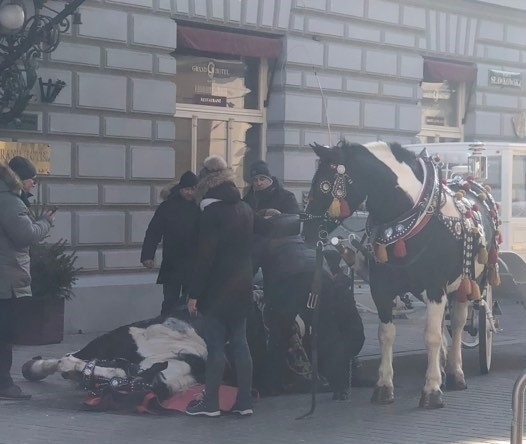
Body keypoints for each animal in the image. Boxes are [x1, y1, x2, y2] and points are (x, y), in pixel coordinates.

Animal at [304, 140, 502, 408]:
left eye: (324, 184)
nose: (305, 230)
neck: (410, 219)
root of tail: (470, 185)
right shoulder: (381, 288)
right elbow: (386, 334)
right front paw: (384, 386)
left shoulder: (436, 286)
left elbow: (431, 336)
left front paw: (431, 390)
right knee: (444, 326)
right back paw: (442, 366)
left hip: (471, 283)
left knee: (458, 323)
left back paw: (455, 373)